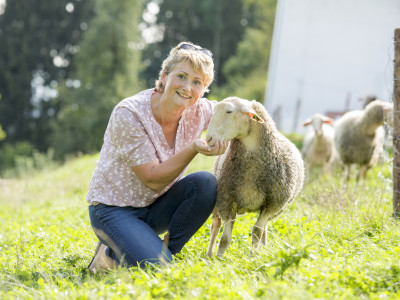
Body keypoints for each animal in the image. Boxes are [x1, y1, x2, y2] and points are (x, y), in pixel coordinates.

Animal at [205, 96, 304, 258]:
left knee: (264, 227)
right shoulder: (227, 200)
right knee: (216, 224)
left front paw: (252, 257)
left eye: (229, 111)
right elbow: (225, 238)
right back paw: (209, 255)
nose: (208, 139)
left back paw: (263, 248)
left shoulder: (271, 204)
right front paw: (219, 259)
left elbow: (257, 231)